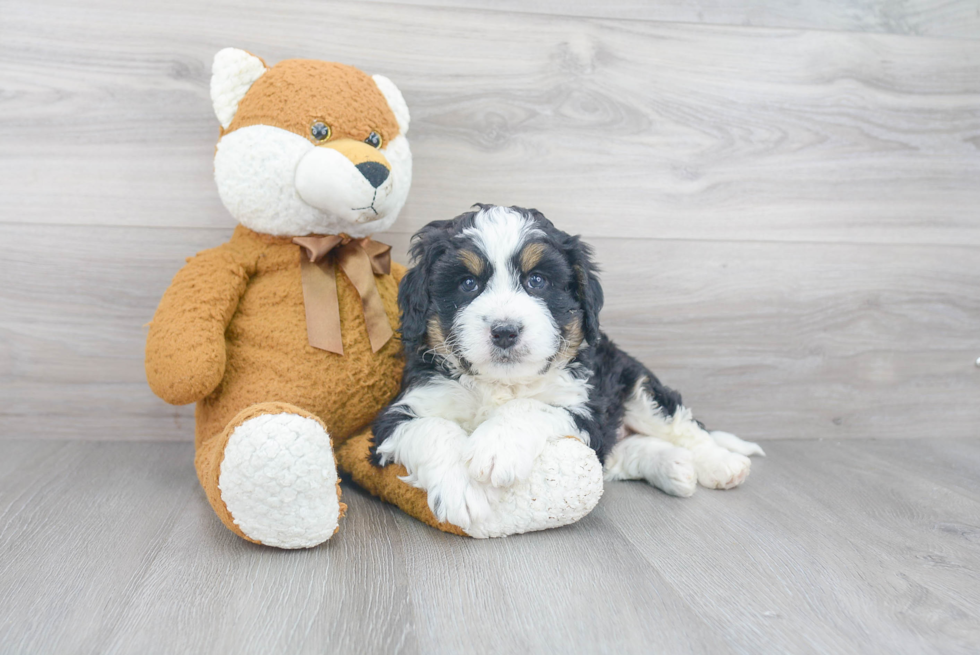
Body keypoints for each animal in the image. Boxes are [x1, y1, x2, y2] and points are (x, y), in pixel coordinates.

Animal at [374, 208, 764, 532]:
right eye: (468, 284)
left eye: (537, 281)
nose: (505, 331)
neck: (501, 384)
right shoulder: (399, 413)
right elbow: (433, 427)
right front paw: (463, 489)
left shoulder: (584, 407)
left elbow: (531, 406)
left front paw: (496, 447)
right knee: (623, 453)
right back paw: (674, 468)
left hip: (635, 385)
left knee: (682, 425)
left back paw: (723, 465)